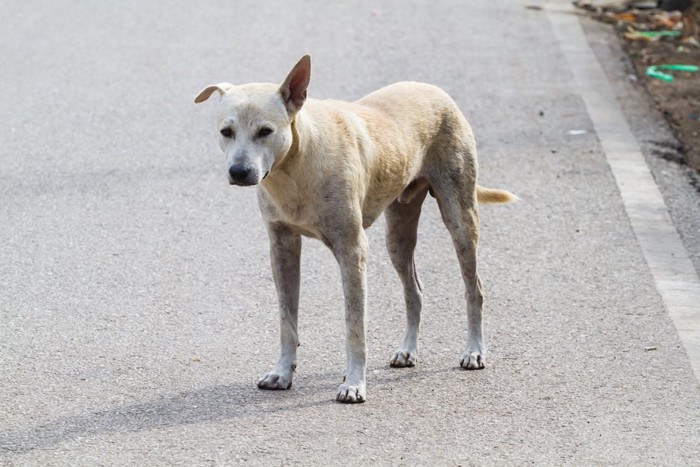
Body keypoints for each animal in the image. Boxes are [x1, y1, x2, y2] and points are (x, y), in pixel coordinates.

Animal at [196, 56, 516, 404]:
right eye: (226, 132)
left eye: (265, 131)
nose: (239, 172)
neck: (296, 166)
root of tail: (435, 91)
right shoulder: (281, 248)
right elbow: (287, 320)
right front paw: (282, 373)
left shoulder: (352, 251)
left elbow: (354, 326)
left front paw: (354, 384)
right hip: (398, 233)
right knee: (414, 291)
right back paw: (407, 350)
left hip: (460, 217)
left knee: (474, 288)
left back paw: (474, 351)